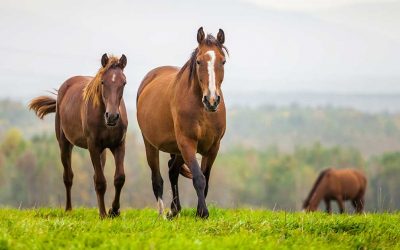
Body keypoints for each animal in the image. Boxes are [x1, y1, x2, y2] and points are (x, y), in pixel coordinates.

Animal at [28, 53, 127, 218]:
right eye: (102, 82)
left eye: (124, 82)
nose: (112, 116)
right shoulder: (93, 146)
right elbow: (100, 182)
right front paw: (103, 215)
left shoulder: (118, 145)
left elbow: (119, 178)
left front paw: (113, 211)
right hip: (65, 144)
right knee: (68, 177)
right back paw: (68, 209)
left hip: (102, 151)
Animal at [136, 27, 227, 219]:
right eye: (199, 61)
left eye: (223, 61)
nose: (212, 100)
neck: (202, 110)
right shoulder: (187, 143)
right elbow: (198, 177)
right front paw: (203, 213)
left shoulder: (213, 147)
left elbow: (206, 178)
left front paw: (199, 211)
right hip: (151, 145)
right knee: (157, 179)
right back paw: (162, 214)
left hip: (177, 149)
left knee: (172, 170)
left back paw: (174, 210)